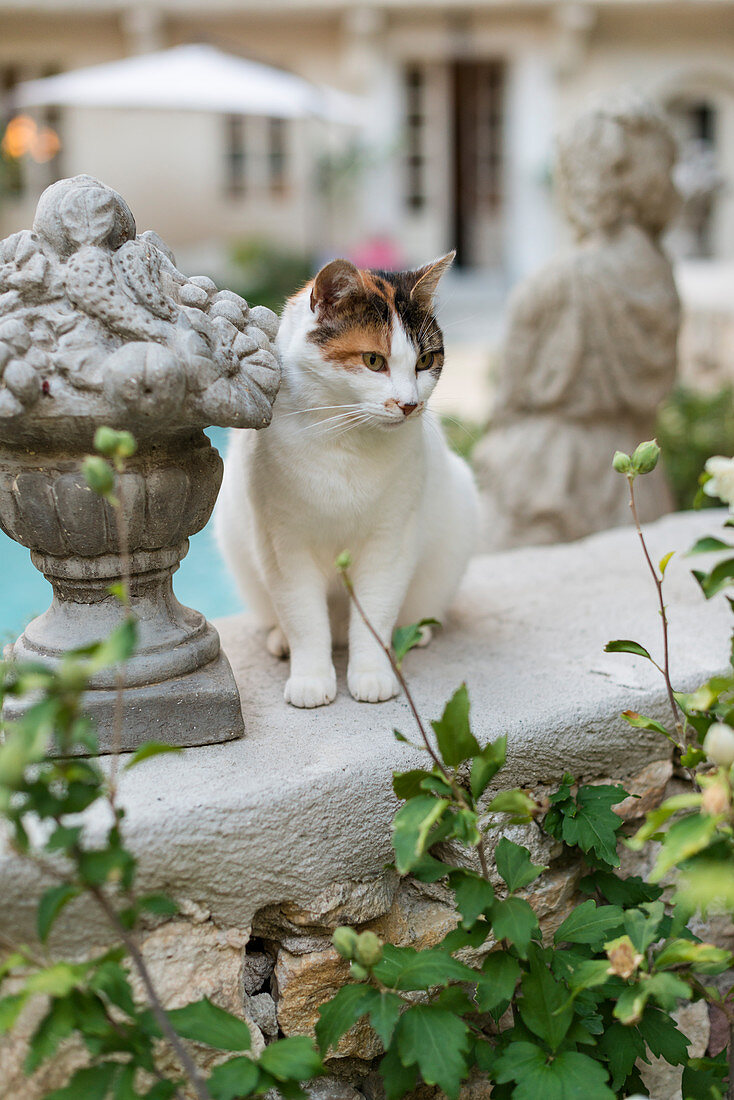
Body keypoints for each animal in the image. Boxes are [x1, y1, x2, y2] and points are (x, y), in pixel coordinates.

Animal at [215, 253, 479, 708]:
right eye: (374, 361)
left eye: (424, 362)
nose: (409, 404)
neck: (344, 442)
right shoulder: (283, 546)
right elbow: (304, 619)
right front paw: (310, 678)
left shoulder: (389, 542)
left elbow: (375, 610)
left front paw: (372, 674)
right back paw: (281, 640)